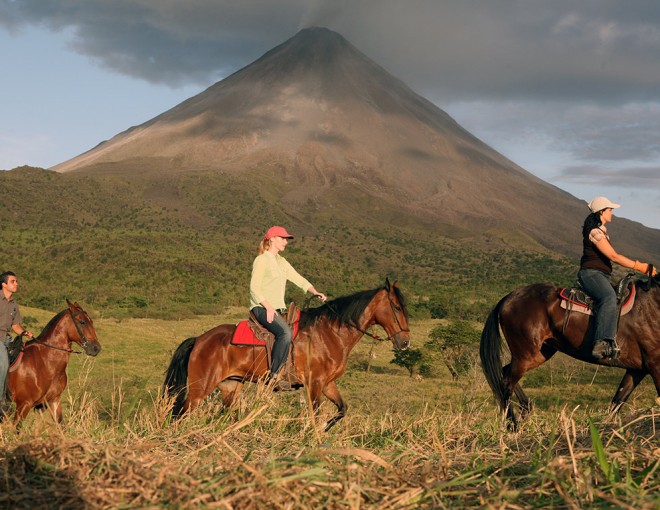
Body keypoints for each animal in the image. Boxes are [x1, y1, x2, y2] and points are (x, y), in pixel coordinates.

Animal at [163, 278, 410, 430]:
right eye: (397, 308)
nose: (405, 342)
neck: (330, 333)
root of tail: (199, 339)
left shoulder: (327, 384)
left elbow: (342, 410)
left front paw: (324, 430)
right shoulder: (314, 384)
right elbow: (315, 415)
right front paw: (314, 436)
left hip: (230, 387)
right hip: (200, 389)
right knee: (181, 413)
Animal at [480, 272, 660, 428]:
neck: (653, 305)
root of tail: (509, 297)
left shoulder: (637, 370)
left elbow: (617, 402)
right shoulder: (655, 365)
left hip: (539, 354)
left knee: (505, 373)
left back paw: (525, 409)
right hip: (526, 354)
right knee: (507, 382)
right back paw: (512, 427)